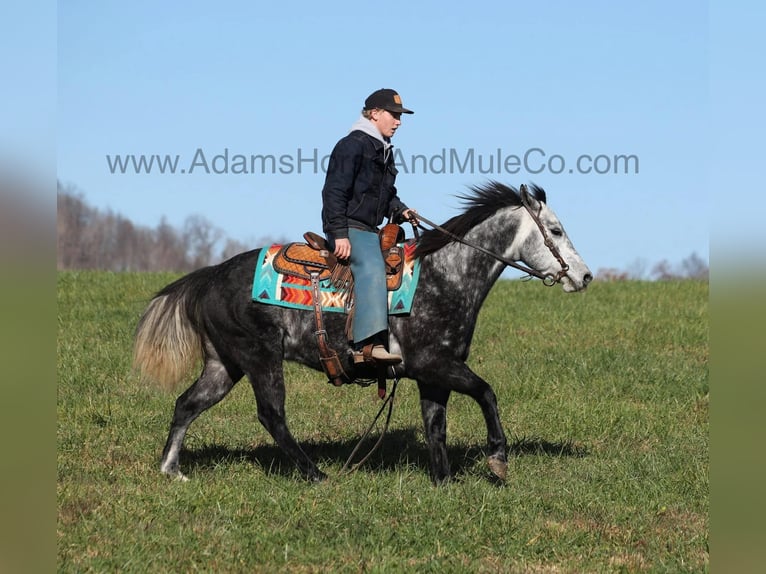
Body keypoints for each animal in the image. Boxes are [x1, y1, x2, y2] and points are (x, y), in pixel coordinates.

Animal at [133, 182, 593, 484]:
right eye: (555, 230)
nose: (584, 276)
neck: (446, 276)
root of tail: (210, 276)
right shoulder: (436, 364)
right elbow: (486, 393)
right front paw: (498, 458)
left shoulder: (433, 374)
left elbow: (436, 425)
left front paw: (444, 481)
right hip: (260, 359)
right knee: (271, 415)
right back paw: (315, 474)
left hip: (224, 364)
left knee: (187, 404)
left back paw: (172, 471)